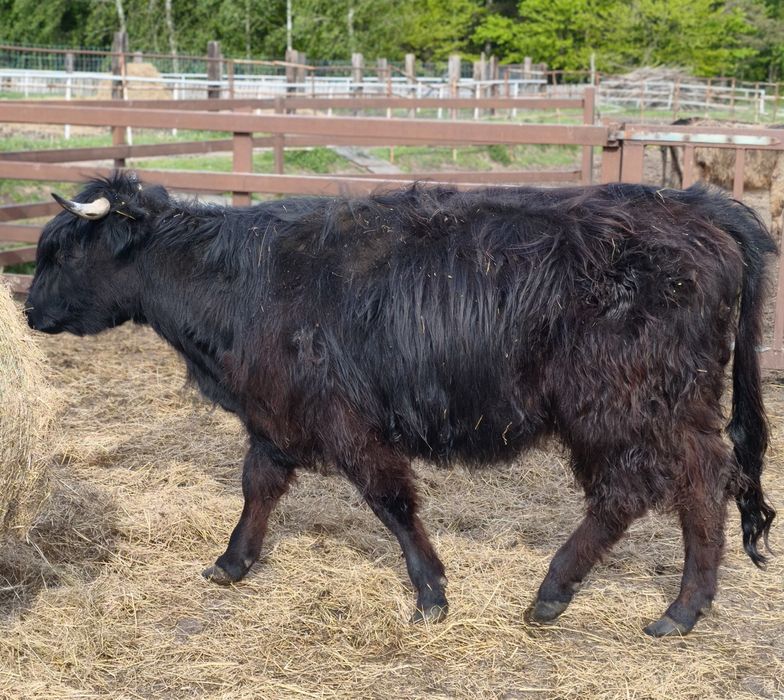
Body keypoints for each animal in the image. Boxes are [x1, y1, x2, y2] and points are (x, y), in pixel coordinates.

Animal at [26, 172, 776, 637]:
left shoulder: (345, 420)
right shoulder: (274, 415)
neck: (241, 281)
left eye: (63, 252)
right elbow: (258, 485)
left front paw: (431, 593)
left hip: (618, 403)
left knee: (643, 486)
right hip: (671, 405)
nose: (28, 310)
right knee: (694, 481)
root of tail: (694, 205)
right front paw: (232, 562)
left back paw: (574, 593)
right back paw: (667, 605)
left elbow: (390, 500)